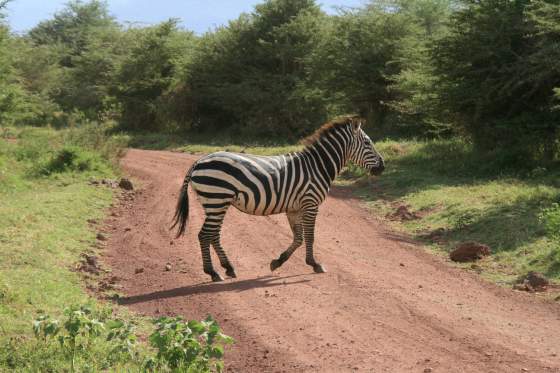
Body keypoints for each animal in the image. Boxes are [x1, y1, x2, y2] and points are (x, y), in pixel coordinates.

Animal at [171, 115, 384, 280]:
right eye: (368, 143)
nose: (382, 167)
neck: (318, 166)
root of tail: (199, 160)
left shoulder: (294, 208)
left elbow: (298, 238)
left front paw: (278, 262)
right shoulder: (311, 203)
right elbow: (310, 236)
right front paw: (315, 264)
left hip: (216, 203)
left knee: (213, 235)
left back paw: (228, 268)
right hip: (216, 199)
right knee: (205, 235)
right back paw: (213, 273)